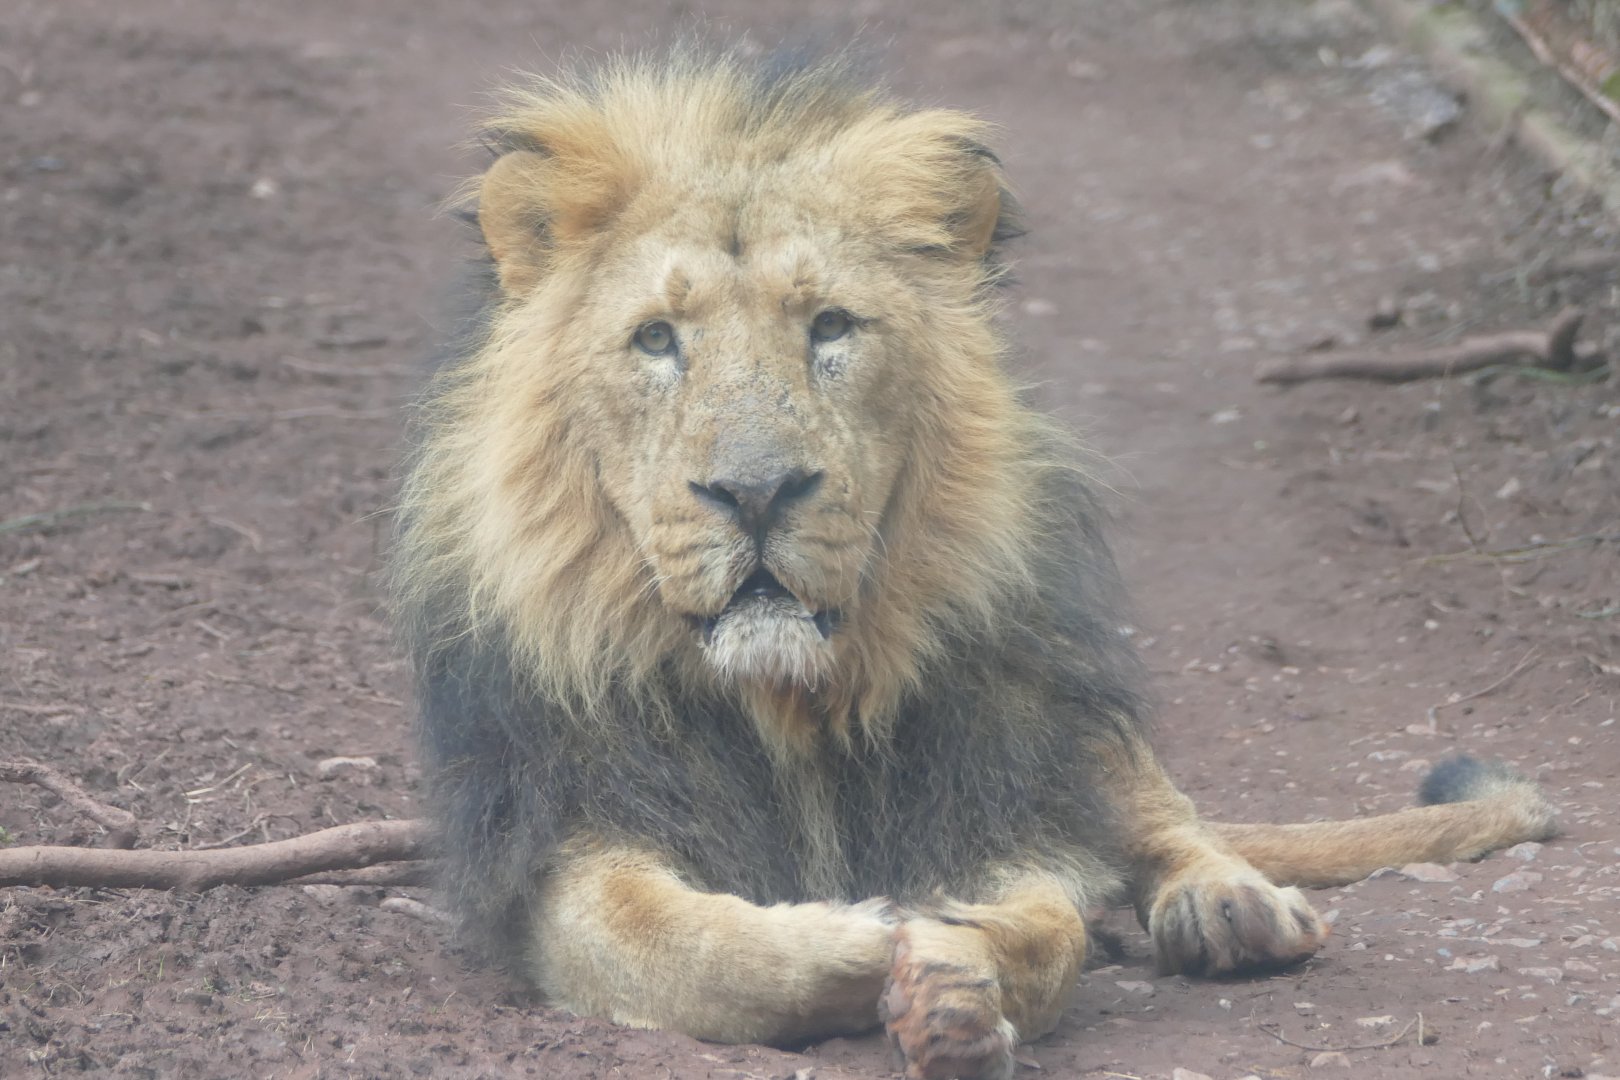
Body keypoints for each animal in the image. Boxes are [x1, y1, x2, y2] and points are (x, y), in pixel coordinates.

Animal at [393, 50, 1557, 1080]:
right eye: (655, 340)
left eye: (830, 326)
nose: (758, 493)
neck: (789, 706)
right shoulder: (561, 843)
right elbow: (691, 949)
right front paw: (875, 931)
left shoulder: (998, 798)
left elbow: (1053, 929)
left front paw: (952, 971)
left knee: (1160, 812)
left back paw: (1229, 906)